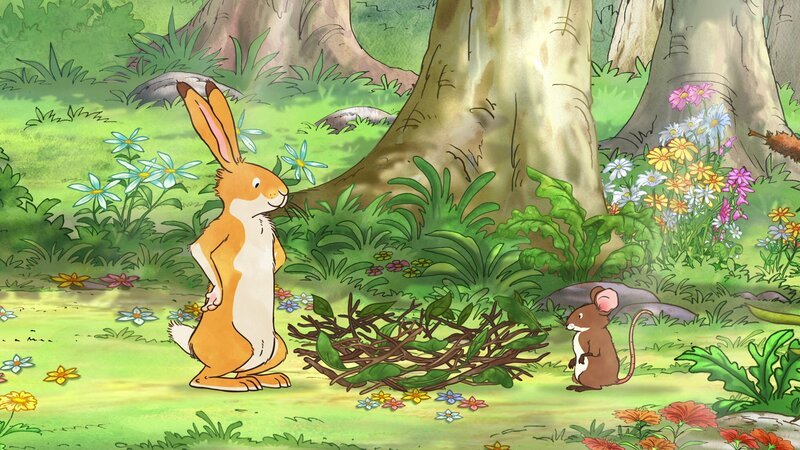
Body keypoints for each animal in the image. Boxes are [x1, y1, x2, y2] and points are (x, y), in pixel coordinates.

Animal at [167, 80, 291, 392]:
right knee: (203, 378)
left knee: (242, 370)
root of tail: (193, 345)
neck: (250, 218)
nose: (284, 193)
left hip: (276, 346)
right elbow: (199, 249)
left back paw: (270, 378)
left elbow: (280, 256)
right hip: (238, 346)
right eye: (256, 183)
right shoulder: (222, 228)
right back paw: (242, 384)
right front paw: (215, 295)